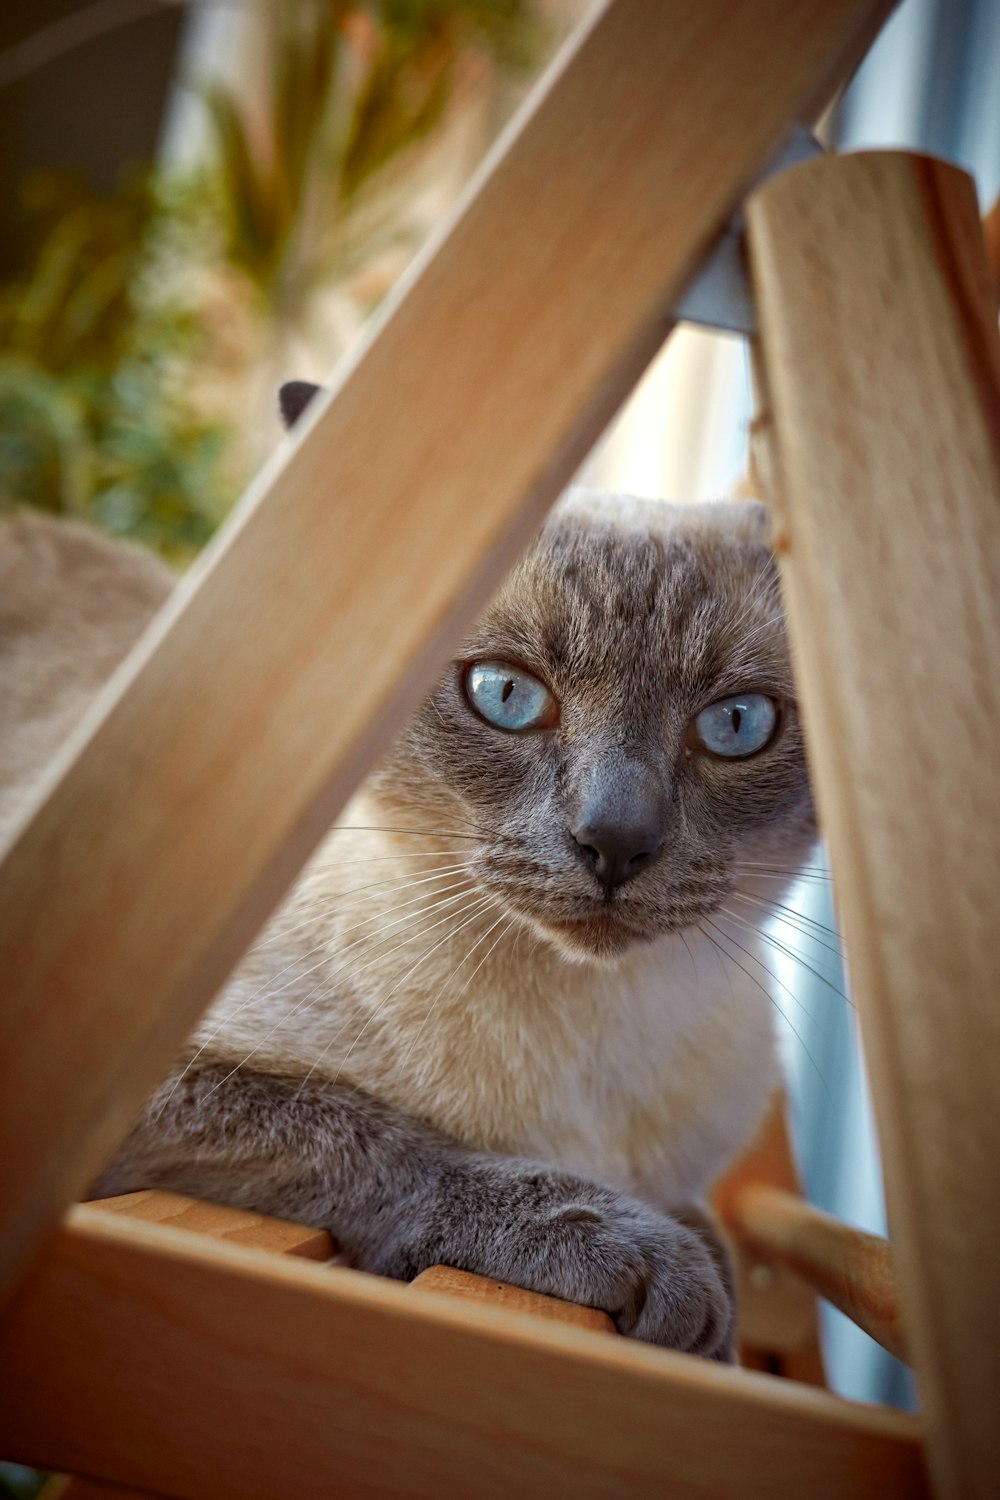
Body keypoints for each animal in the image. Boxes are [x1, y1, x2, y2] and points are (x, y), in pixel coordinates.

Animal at [0, 381, 815, 1356]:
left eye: (736, 724)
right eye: (506, 696)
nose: (614, 841)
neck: (588, 1041)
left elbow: (706, 1224)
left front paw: (709, 1310)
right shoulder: (134, 1092)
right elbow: (381, 1137)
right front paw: (652, 1262)